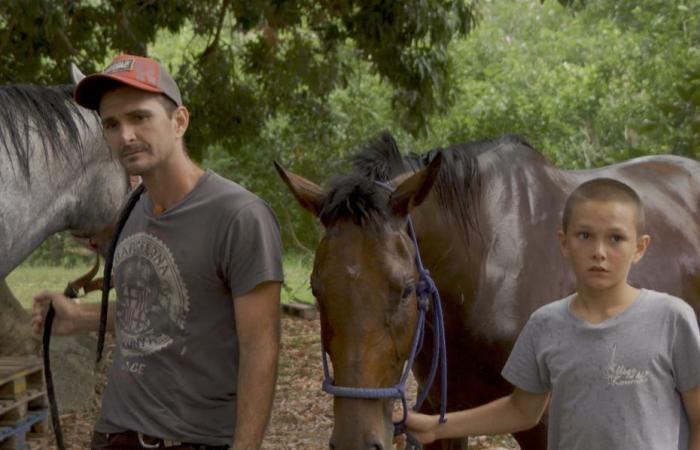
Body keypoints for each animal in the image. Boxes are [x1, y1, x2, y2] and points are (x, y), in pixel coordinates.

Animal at [276, 132, 700, 448]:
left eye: (406, 290)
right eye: (316, 290)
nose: (356, 441)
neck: (482, 272)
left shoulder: (540, 421)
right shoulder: (440, 414)